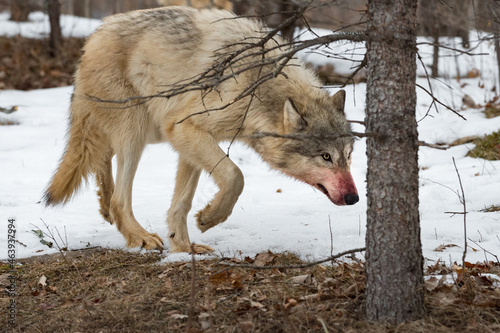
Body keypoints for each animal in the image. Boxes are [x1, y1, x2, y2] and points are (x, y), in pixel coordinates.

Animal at [43, 7, 356, 252]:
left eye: (349, 156)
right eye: (325, 157)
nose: (354, 198)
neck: (258, 86)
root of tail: (93, 37)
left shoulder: (187, 138)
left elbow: (181, 203)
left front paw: (183, 248)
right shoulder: (184, 127)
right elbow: (235, 176)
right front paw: (210, 218)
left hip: (150, 130)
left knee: (102, 161)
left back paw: (106, 207)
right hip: (137, 132)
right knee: (120, 196)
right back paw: (139, 235)